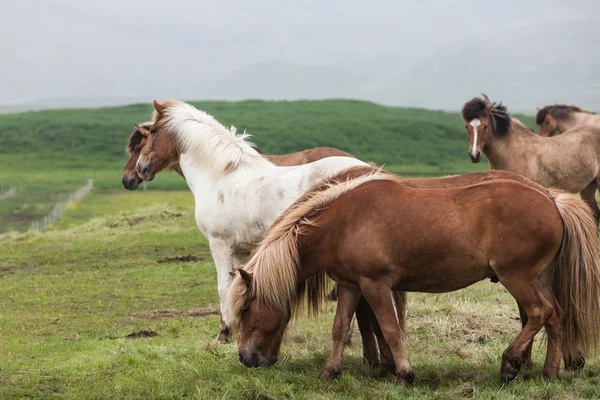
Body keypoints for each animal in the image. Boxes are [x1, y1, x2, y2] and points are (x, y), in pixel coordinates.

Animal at [229, 166, 600, 384]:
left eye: (246, 309)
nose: (245, 358)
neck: (343, 222)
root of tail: (551, 199)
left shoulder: (375, 285)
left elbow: (391, 330)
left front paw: (405, 373)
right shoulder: (350, 286)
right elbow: (339, 329)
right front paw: (330, 372)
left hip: (518, 278)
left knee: (538, 313)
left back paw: (510, 364)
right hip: (540, 279)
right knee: (556, 318)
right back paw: (549, 373)